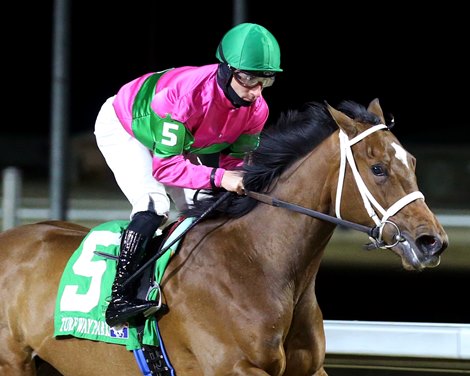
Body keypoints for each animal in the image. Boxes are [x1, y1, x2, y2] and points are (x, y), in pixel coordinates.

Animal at [0, 98, 448, 374]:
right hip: (12, 362)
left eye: (411, 161)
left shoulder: (310, 369)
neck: (258, 263)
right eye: (378, 169)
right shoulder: (231, 368)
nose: (432, 242)